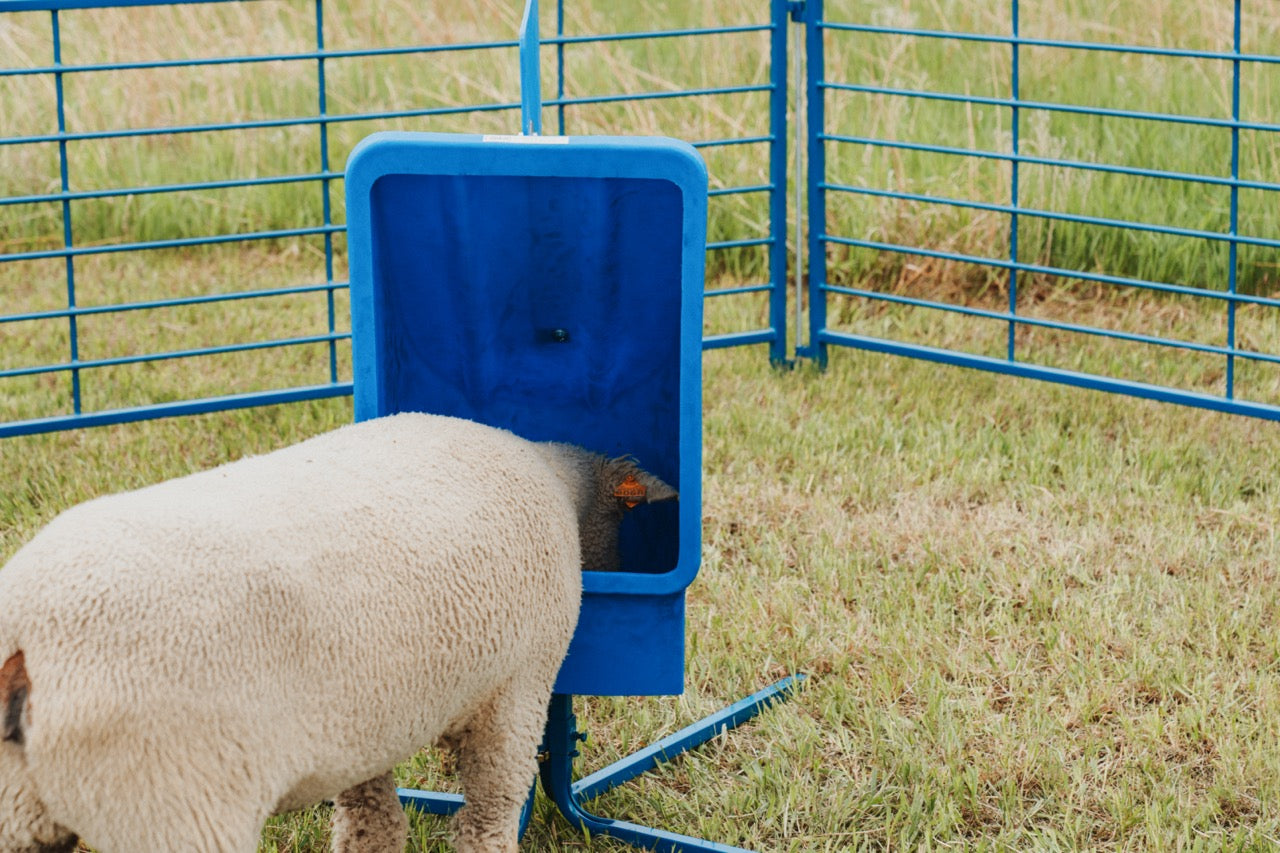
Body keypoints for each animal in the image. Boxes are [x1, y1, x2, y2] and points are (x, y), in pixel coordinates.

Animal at [0, 411, 677, 853]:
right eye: (626, 517)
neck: (556, 481)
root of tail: (29, 642)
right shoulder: (516, 690)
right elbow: (486, 822)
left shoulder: (358, 725)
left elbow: (371, 826)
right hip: (171, 802)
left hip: (21, 805)